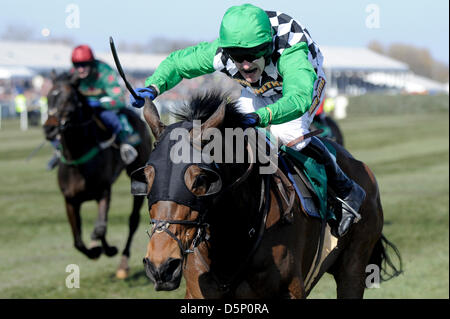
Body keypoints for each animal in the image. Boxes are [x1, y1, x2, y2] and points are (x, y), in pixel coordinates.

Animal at [44, 74, 153, 278]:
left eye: (68, 99)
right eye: (48, 97)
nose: (49, 129)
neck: (77, 159)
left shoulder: (103, 191)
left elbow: (101, 228)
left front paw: (109, 249)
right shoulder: (70, 200)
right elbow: (78, 241)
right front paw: (94, 250)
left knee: (132, 221)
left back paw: (123, 264)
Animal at [136, 91, 400, 298]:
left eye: (200, 178)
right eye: (147, 176)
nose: (161, 266)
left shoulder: (290, 291)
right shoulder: (199, 291)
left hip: (353, 267)